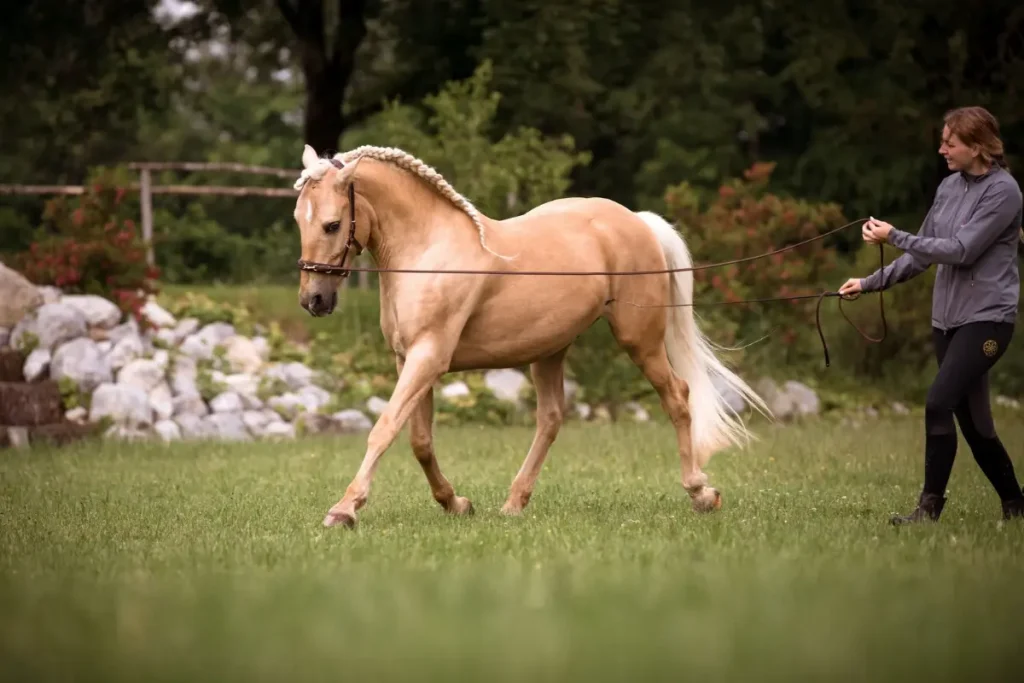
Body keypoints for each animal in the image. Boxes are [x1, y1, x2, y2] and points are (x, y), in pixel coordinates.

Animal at [291, 143, 769, 529]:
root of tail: (636, 220)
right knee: (551, 419)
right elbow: (420, 442)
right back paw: (514, 503)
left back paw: (701, 493)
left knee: (677, 396)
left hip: (640, 340)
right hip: (550, 350)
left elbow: (385, 429)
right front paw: (457, 504)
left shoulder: (429, 358)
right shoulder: (409, 359)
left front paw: (344, 509)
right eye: (299, 218)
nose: (313, 300)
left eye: (332, 224)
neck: (427, 252)